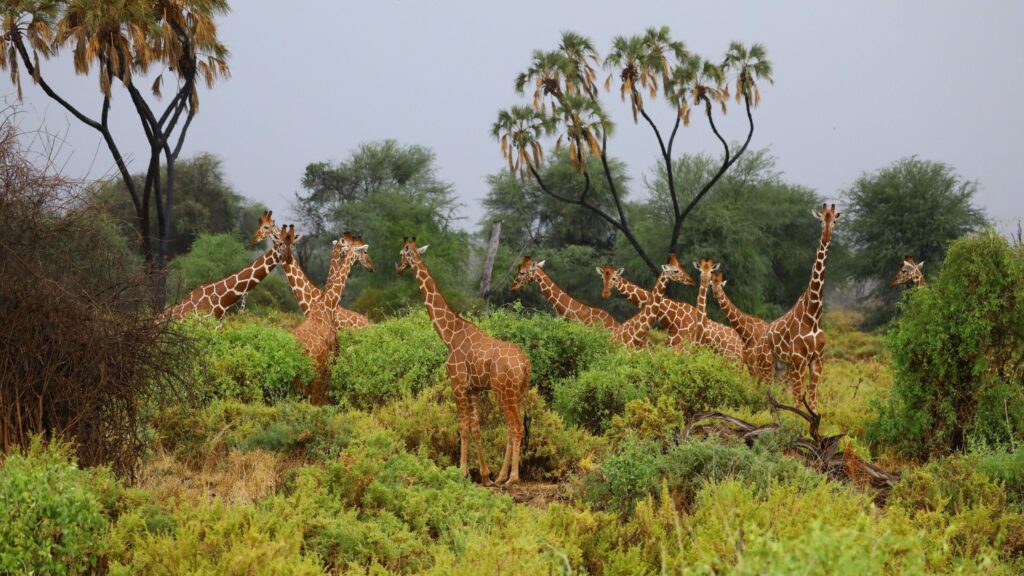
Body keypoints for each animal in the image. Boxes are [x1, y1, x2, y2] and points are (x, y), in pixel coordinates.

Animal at [395, 235, 532, 481]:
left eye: (403, 253)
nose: (398, 267)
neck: (449, 335)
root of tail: (525, 364)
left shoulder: (457, 383)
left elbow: (462, 426)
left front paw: (462, 471)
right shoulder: (474, 388)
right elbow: (476, 427)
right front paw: (485, 474)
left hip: (505, 392)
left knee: (515, 427)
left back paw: (513, 478)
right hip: (520, 392)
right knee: (512, 428)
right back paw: (501, 476)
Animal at [753, 201, 839, 407]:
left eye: (834, 221)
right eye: (821, 220)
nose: (826, 236)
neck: (813, 315)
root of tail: (758, 343)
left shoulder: (817, 361)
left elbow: (813, 402)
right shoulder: (799, 360)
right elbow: (798, 400)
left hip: (780, 368)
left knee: (774, 397)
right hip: (766, 365)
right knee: (763, 395)